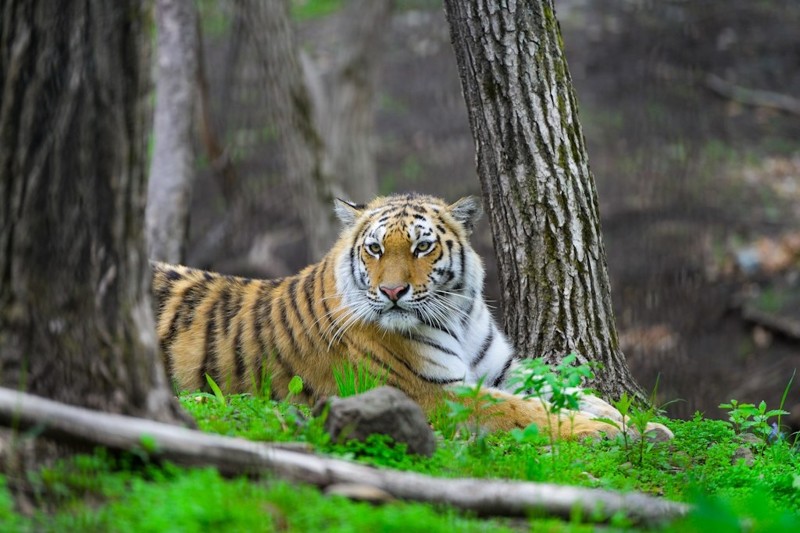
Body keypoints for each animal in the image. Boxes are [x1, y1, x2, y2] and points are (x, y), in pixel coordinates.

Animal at [153, 193, 648, 438]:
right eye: (374, 249)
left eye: (422, 246)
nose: (392, 292)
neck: (458, 315)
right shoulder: (435, 394)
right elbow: (526, 412)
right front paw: (615, 433)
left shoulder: (502, 368)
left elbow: (571, 392)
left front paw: (634, 421)